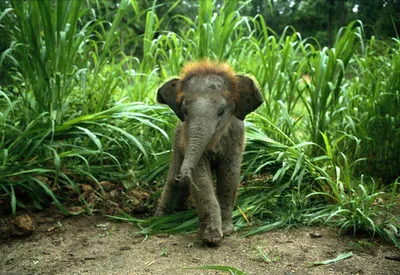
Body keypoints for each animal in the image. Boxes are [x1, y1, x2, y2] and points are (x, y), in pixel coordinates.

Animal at [155, 59, 264, 244]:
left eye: (221, 112)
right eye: (185, 112)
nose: (182, 176)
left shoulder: (237, 137)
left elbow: (229, 176)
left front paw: (226, 232)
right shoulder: (186, 138)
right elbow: (201, 179)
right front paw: (211, 239)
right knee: (172, 183)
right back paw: (158, 220)